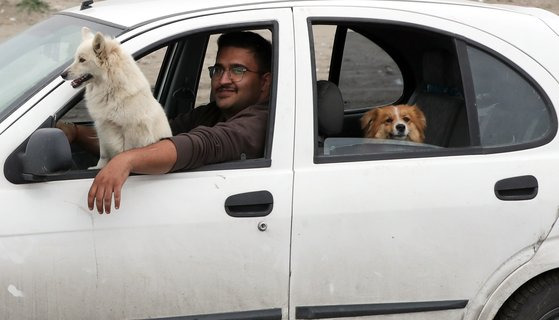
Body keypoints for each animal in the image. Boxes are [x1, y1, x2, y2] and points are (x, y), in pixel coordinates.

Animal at [60, 26, 172, 169]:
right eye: (76, 58)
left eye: (82, 60)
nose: (62, 75)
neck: (110, 88)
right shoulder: (102, 127)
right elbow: (103, 155)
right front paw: (99, 168)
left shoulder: (131, 132)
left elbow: (126, 153)